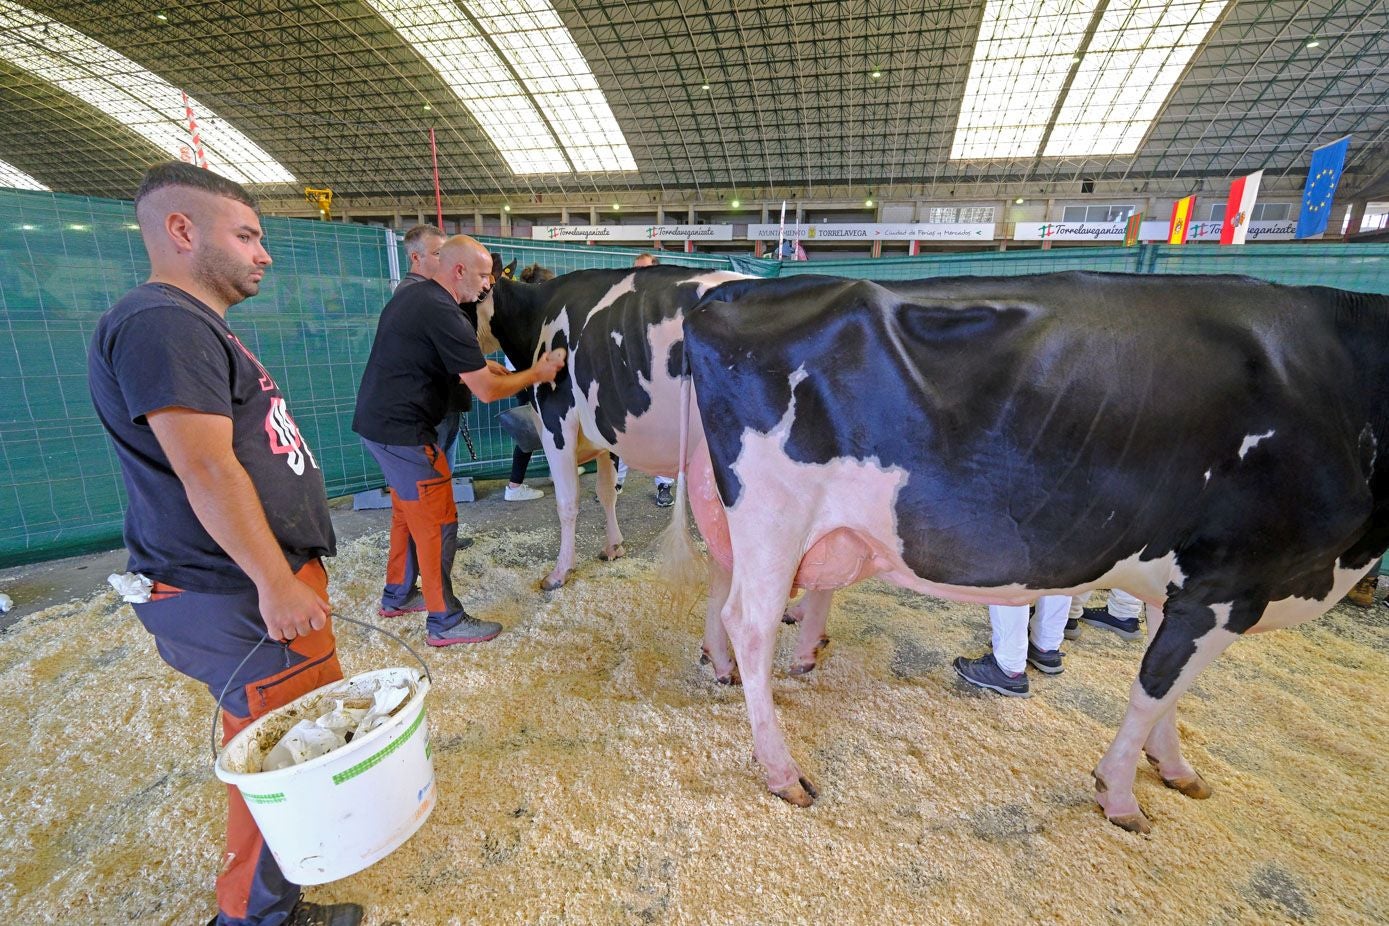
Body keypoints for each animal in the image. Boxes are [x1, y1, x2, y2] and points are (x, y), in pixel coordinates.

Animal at [680, 272, 1389, 838]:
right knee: (752, 624)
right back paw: (782, 771)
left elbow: (1171, 690)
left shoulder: (1188, 585)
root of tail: (731, 291)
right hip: (774, 516)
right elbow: (1154, 688)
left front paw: (1174, 768)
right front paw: (1120, 795)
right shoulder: (1230, 582)